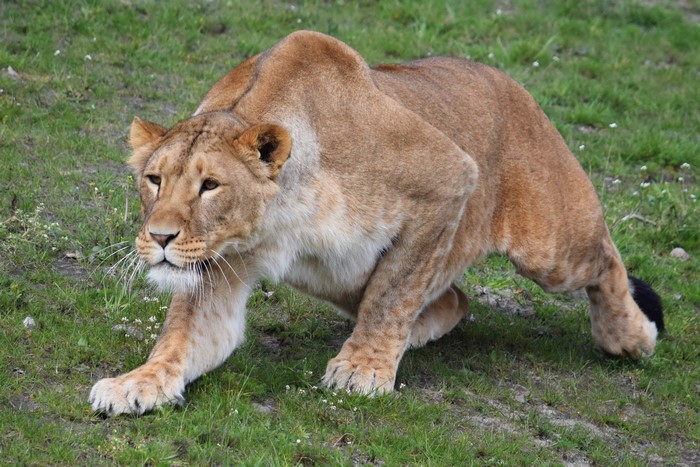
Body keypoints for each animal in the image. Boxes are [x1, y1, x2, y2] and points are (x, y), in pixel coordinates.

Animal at [89, 31, 664, 416]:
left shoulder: (449, 179)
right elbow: (183, 336)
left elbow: (393, 294)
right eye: (154, 179)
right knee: (454, 300)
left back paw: (630, 337)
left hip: (551, 246)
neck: (277, 215)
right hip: (336, 277)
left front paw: (362, 370)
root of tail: (512, 84)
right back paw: (413, 336)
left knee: (606, 257)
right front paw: (138, 382)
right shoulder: (219, 265)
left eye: (209, 185)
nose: (160, 237)